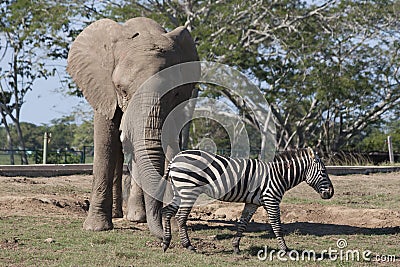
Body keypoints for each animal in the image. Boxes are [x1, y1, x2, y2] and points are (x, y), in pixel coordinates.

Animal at [67, 17, 202, 239]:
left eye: (175, 93)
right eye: (121, 90)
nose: (166, 236)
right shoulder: (104, 89)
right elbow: (105, 142)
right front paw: (95, 228)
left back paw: (137, 217)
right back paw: (120, 215)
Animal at [162, 148, 334, 254]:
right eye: (323, 172)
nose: (331, 193)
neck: (279, 175)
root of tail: (175, 158)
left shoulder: (253, 203)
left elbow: (243, 223)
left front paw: (236, 247)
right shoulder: (271, 200)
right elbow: (277, 226)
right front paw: (285, 250)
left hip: (180, 191)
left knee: (166, 212)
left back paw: (166, 243)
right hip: (188, 189)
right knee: (180, 217)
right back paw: (188, 246)